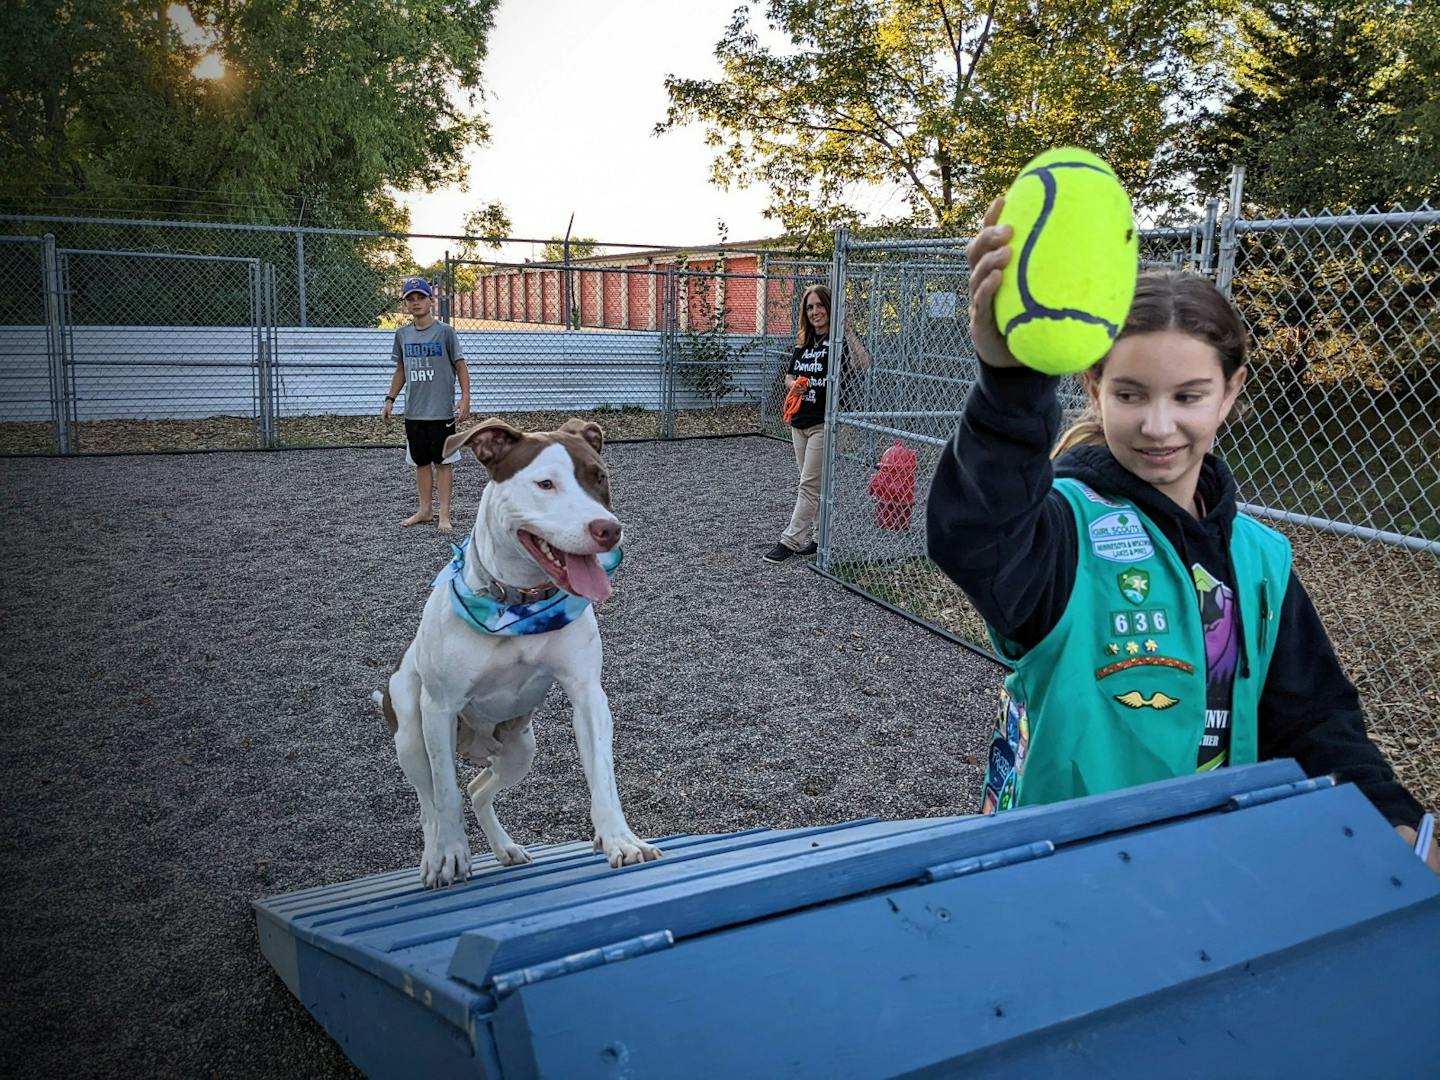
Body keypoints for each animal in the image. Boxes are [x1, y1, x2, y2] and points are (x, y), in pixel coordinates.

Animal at [374, 417, 659, 887]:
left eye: (599, 476)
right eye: (545, 483)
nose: (608, 528)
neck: (518, 603)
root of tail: (474, 745)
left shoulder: (588, 695)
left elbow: (603, 776)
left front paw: (619, 839)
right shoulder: (440, 707)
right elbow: (445, 797)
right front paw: (451, 855)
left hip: (518, 750)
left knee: (477, 790)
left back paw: (504, 848)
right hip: (413, 736)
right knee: (430, 804)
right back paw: (434, 857)